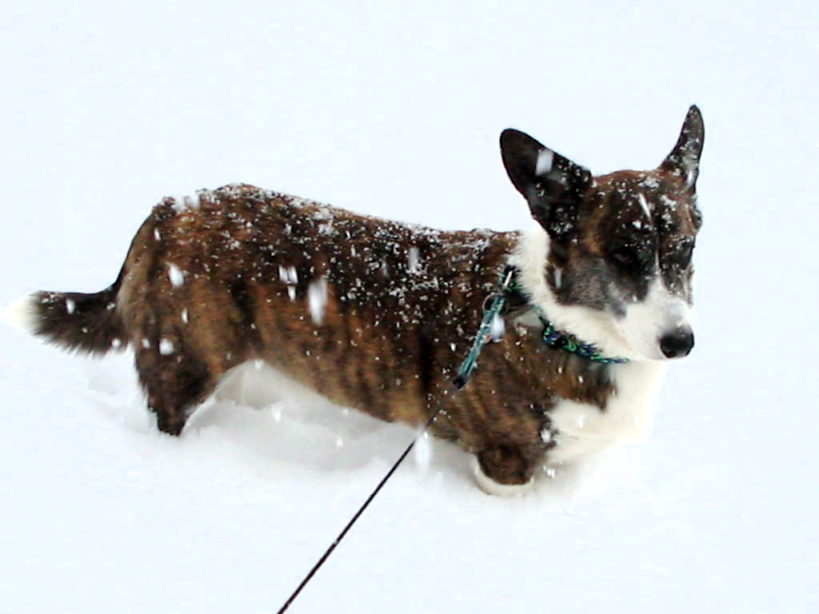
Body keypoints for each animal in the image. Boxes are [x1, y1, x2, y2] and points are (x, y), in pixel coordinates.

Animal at [19, 107, 704, 496]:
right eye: (621, 255)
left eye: (685, 248)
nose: (681, 344)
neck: (561, 324)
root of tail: (168, 209)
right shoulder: (503, 462)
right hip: (184, 361)